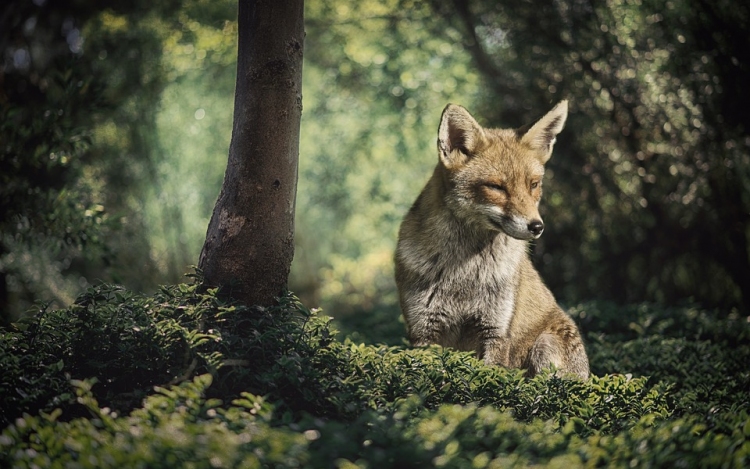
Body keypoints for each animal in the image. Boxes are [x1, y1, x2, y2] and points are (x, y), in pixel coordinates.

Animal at [396, 100, 592, 378]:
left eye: (533, 185)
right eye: (496, 187)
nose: (537, 226)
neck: (463, 273)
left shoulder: (495, 330)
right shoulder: (424, 332)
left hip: (544, 346)